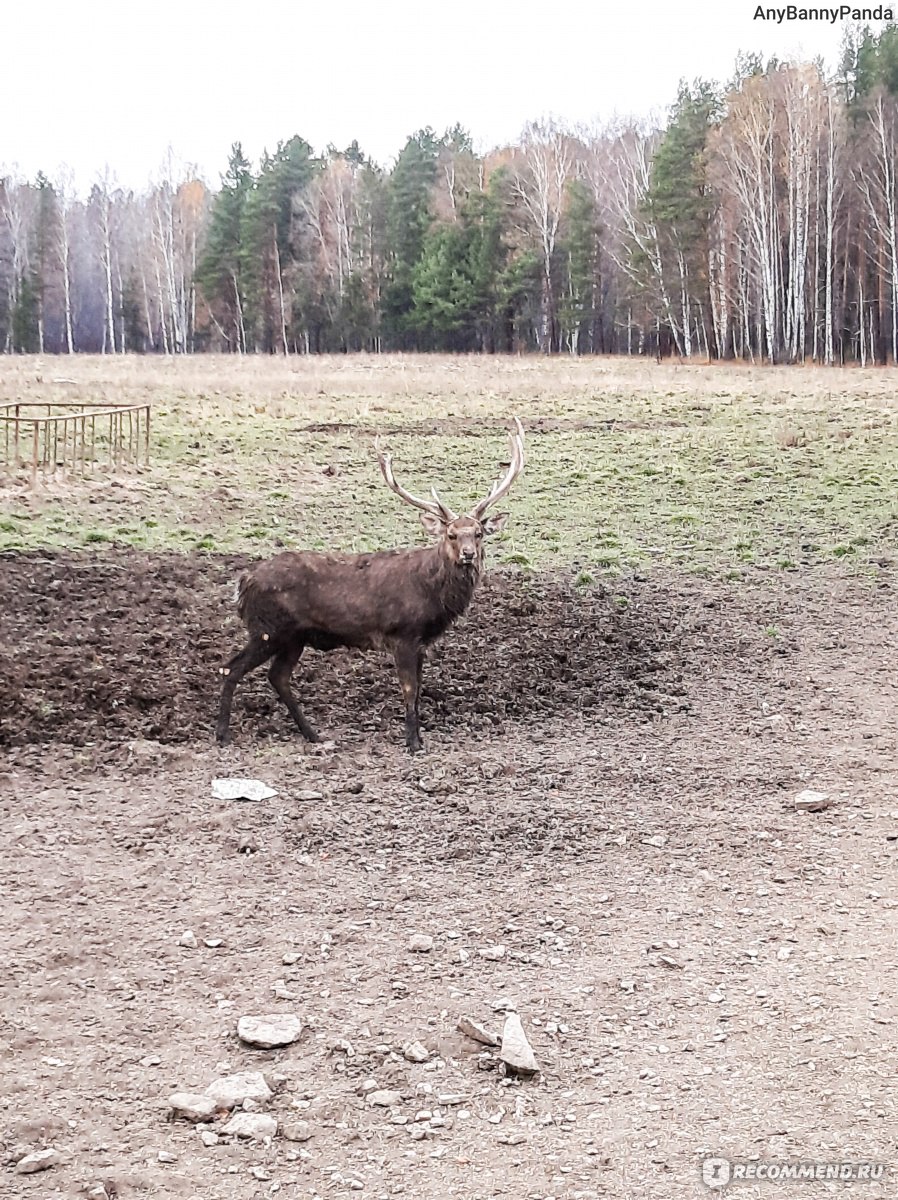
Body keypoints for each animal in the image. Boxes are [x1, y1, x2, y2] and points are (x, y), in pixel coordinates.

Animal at [214, 420, 523, 748]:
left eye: (478, 533)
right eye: (451, 534)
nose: (468, 554)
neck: (432, 595)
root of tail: (242, 583)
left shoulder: (421, 642)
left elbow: (419, 690)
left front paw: (419, 737)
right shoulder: (402, 634)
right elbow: (409, 689)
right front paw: (412, 744)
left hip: (293, 637)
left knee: (278, 677)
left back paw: (313, 734)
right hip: (267, 629)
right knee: (231, 667)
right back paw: (223, 734)